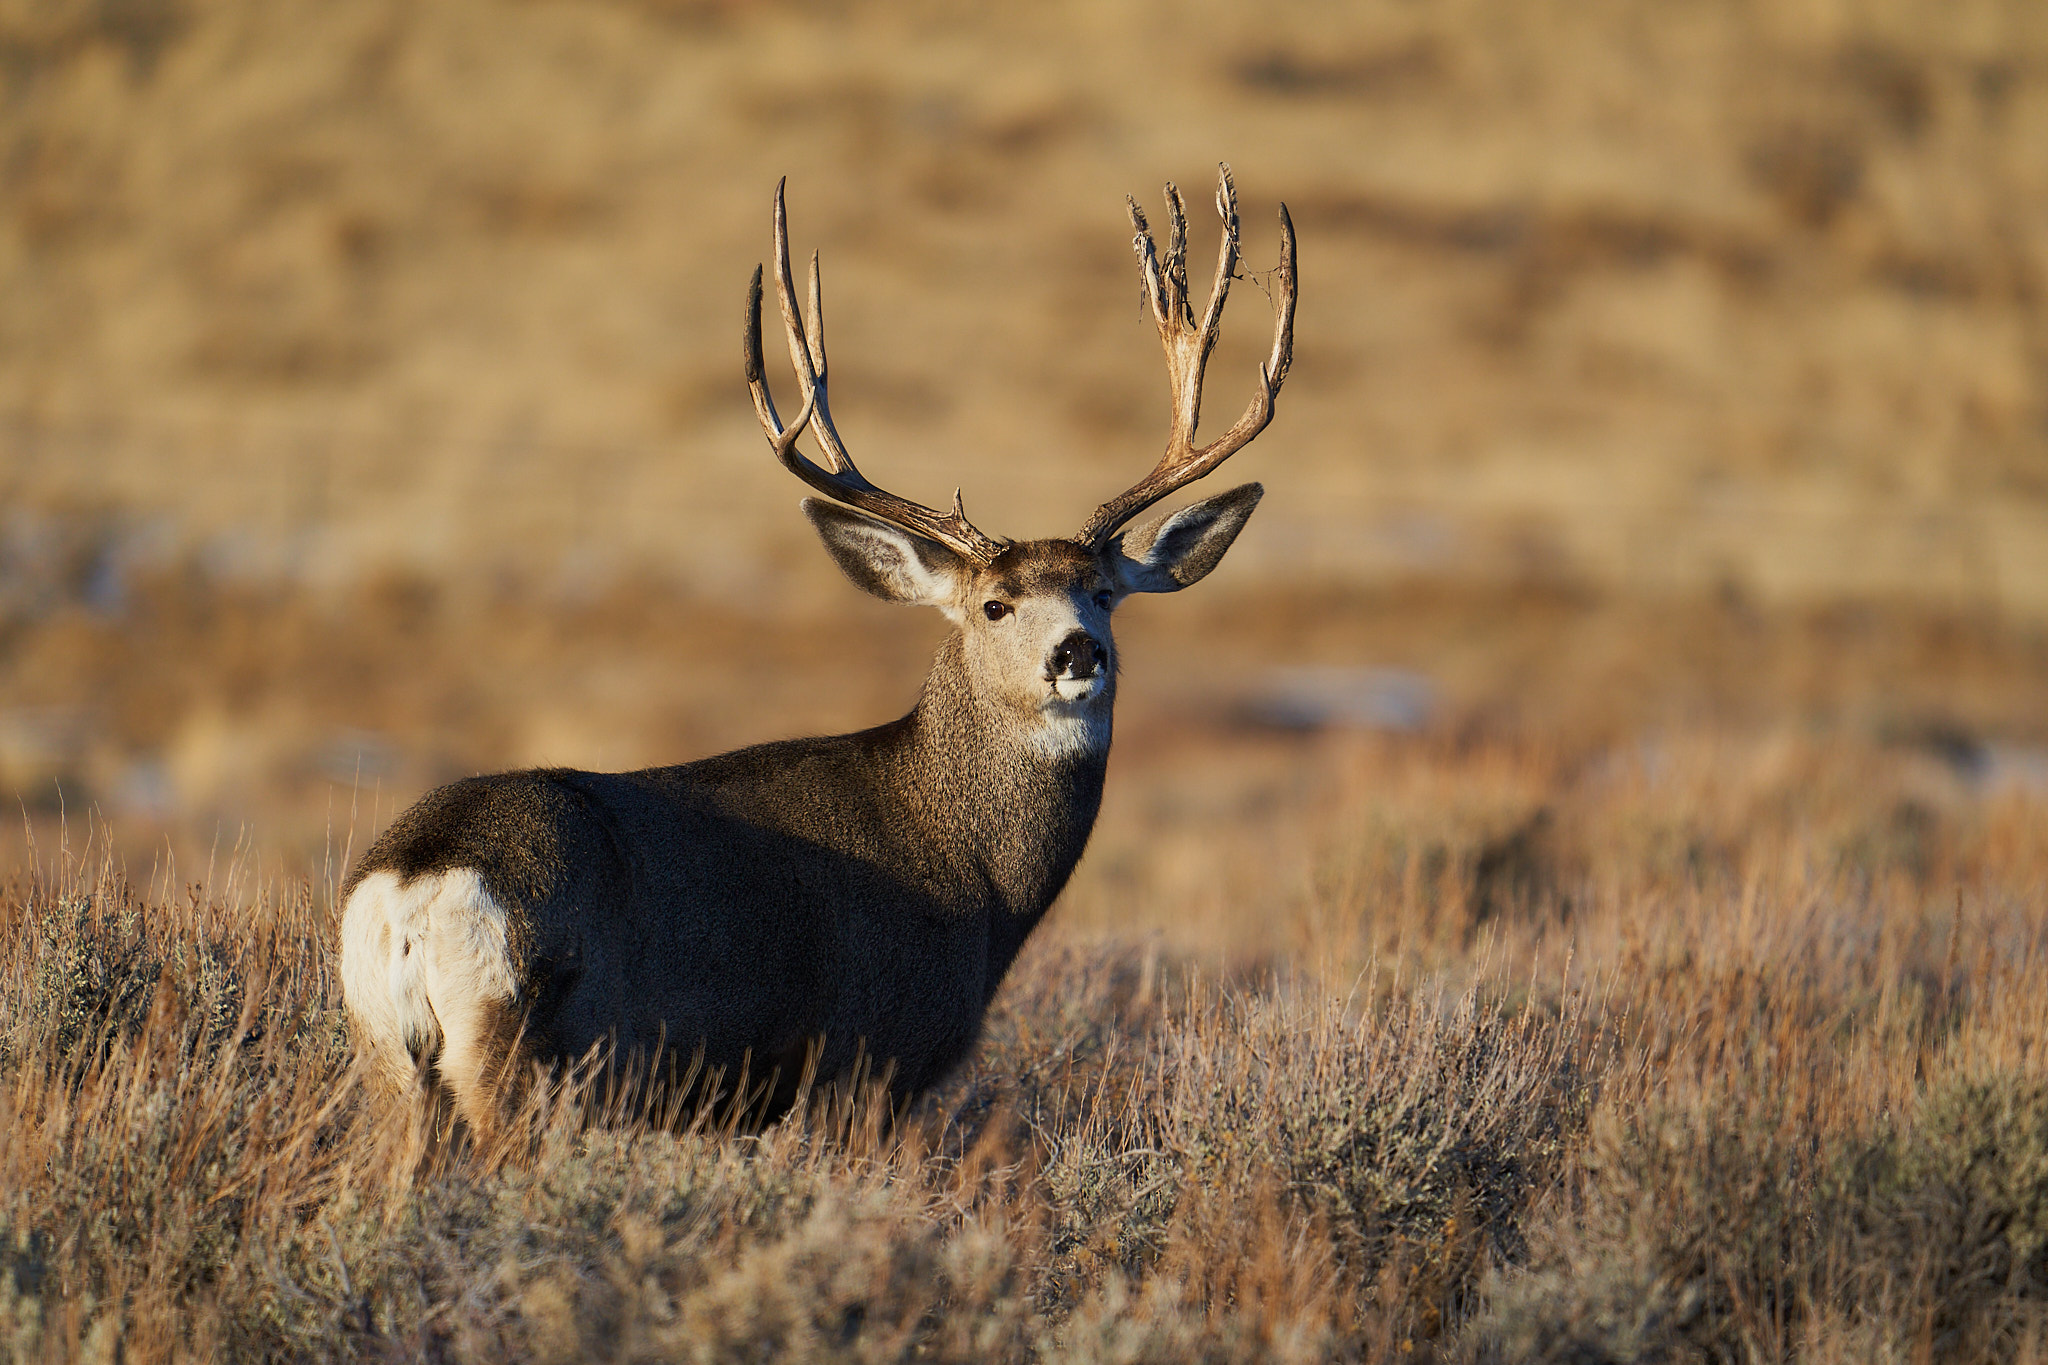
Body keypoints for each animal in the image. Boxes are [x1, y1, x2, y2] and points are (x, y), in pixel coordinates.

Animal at [337, 165, 1296, 1135]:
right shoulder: (866, 1055)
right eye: (995, 604)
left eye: (1104, 594)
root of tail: (414, 880)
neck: (971, 868)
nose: (1076, 653)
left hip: (392, 1065)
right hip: (523, 1048)